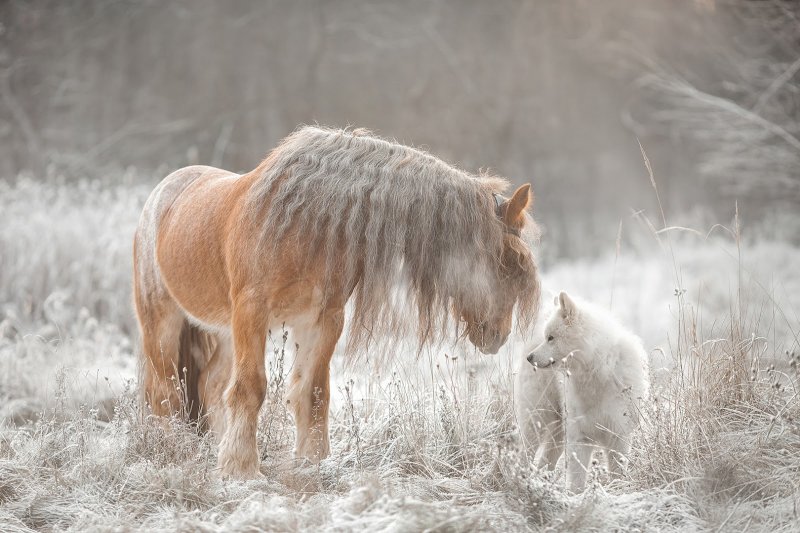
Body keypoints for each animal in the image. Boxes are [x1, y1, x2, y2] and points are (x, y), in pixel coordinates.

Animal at [133, 125, 544, 478]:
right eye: (508, 261)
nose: (498, 335)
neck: (307, 222)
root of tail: (161, 193)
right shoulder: (252, 311)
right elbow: (251, 388)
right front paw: (241, 469)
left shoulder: (323, 319)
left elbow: (312, 393)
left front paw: (312, 462)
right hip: (163, 321)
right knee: (165, 390)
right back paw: (171, 448)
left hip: (222, 330)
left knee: (211, 385)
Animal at [516, 290, 648, 490]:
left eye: (551, 338)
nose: (529, 358)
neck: (597, 371)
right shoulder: (580, 436)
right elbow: (577, 480)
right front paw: (576, 496)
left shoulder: (618, 434)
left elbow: (617, 473)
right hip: (538, 418)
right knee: (526, 452)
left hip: (558, 428)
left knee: (545, 460)